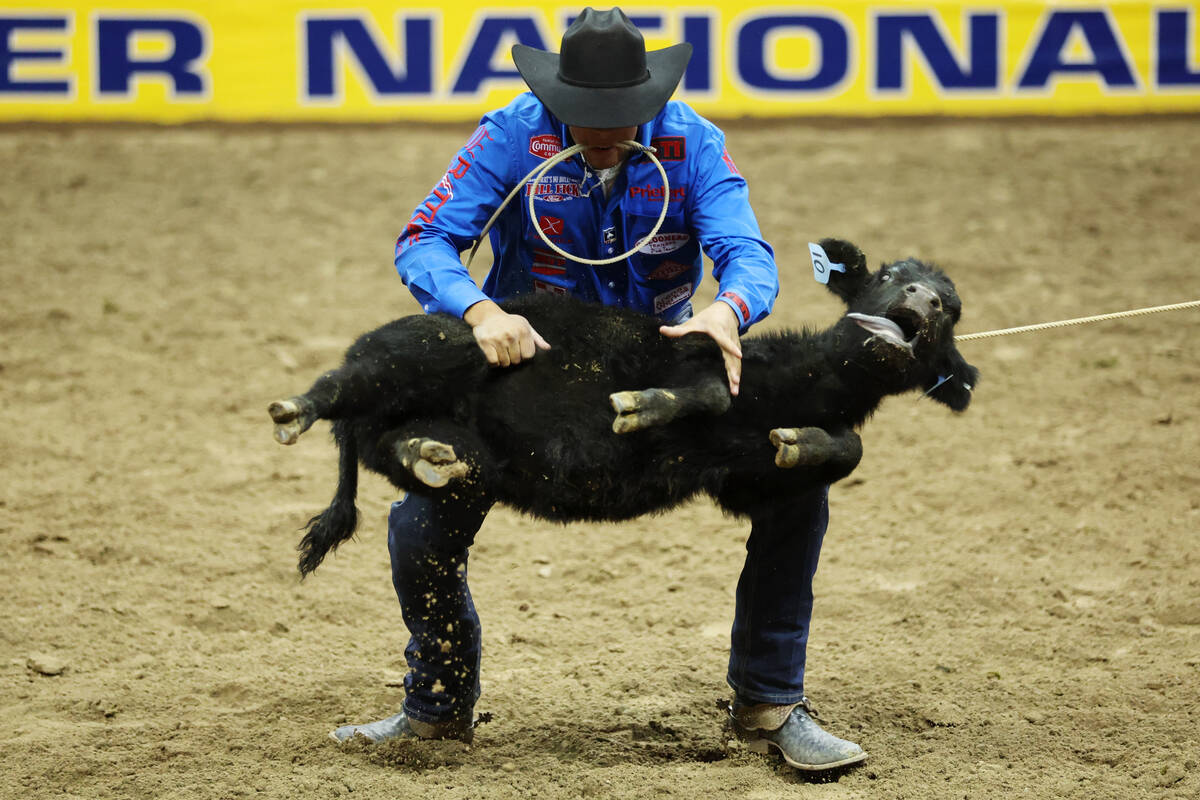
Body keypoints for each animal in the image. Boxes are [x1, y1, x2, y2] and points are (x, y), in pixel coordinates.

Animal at [276, 237, 979, 575]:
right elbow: (704, 387)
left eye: (953, 309)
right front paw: (641, 406)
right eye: (889, 276)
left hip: (444, 441)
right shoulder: (695, 354)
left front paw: (801, 442)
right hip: (430, 349)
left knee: (392, 440)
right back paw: (295, 409)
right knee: (342, 383)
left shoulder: (741, 480)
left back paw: (428, 454)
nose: (925, 300)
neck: (782, 386)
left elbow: (847, 447)